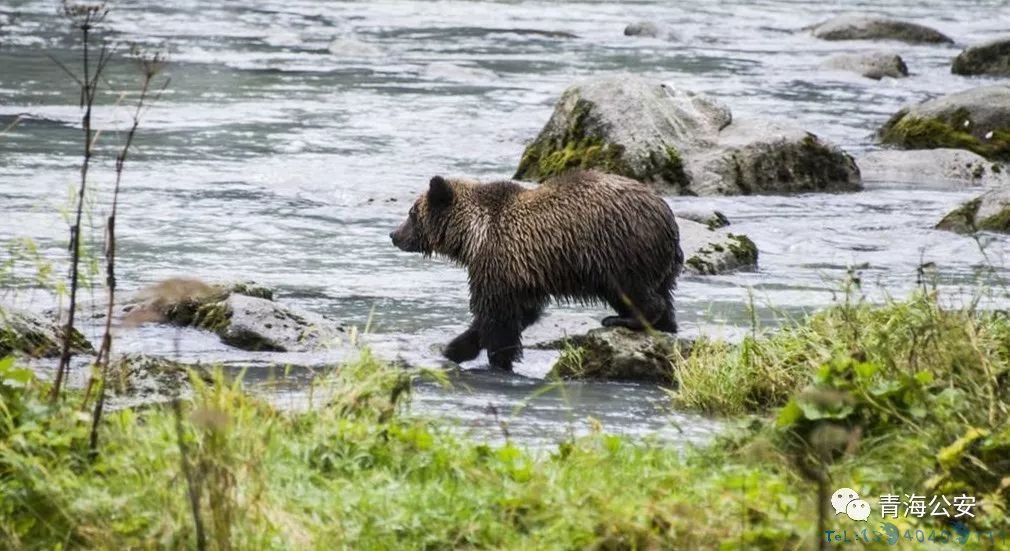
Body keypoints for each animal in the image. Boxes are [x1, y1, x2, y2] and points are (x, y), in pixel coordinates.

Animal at [389, 169, 682, 371]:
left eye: (412, 213)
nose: (394, 234)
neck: (471, 235)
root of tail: (666, 214)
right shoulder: (523, 274)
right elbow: (518, 312)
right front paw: (454, 348)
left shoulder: (498, 261)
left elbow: (497, 317)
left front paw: (497, 360)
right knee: (663, 292)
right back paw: (665, 325)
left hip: (616, 250)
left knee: (632, 289)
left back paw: (624, 319)